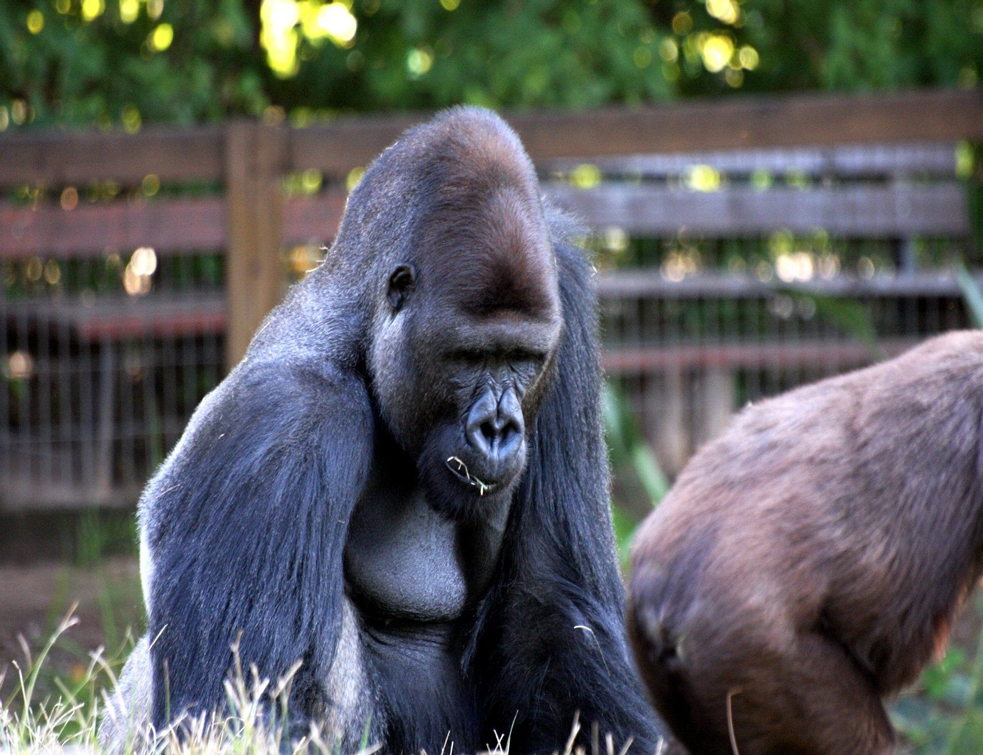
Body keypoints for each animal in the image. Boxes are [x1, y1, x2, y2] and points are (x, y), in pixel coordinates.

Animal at [100, 108, 664, 755]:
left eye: (522, 358)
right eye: (469, 358)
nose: (498, 427)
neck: (362, 335)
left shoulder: (563, 288)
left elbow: (554, 601)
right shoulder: (289, 413)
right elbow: (225, 714)